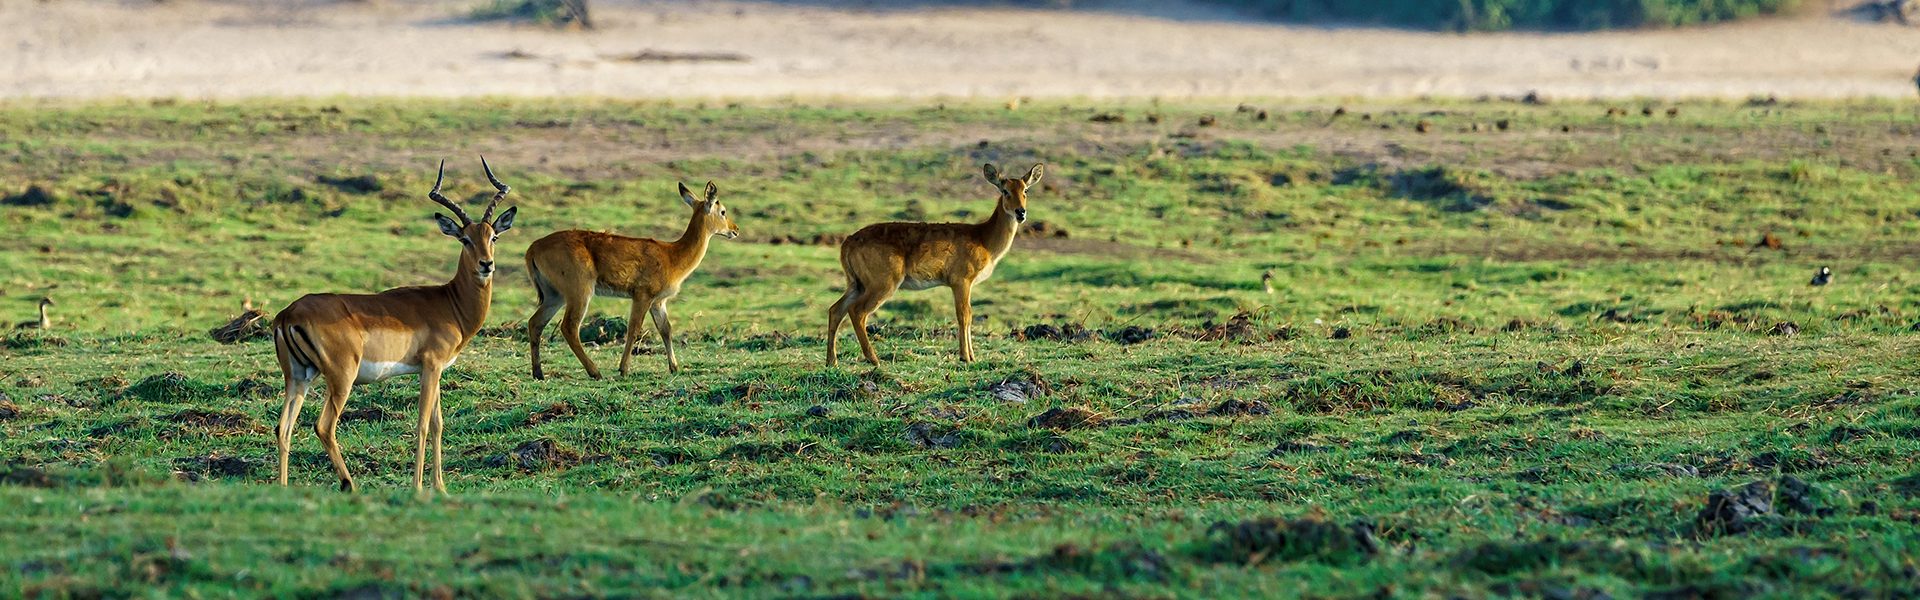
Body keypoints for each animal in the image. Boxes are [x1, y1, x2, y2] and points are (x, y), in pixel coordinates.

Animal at [266, 156, 518, 496]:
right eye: (465, 239)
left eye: (493, 237)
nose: (486, 264)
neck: (449, 302)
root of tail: (287, 314)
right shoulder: (431, 366)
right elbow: (423, 424)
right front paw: (418, 488)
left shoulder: (435, 370)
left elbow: (438, 424)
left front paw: (440, 487)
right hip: (341, 378)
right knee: (323, 426)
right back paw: (349, 484)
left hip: (298, 377)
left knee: (284, 427)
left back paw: (283, 488)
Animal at [522, 180, 737, 376]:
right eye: (723, 211)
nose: (735, 230)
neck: (672, 255)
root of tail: (533, 247)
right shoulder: (642, 296)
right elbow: (634, 329)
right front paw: (623, 369)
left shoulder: (658, 302)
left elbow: (666, 329)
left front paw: (674, 367)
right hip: (580, 293)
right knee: (569, 327)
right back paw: (595, 372)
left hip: (555, 295)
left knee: (535, 323)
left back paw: (538, 373)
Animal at [817, 161, 1044, 365]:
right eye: (1005, 191)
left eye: (1025, 190)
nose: (1020, 212)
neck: (983, 238)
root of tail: (847, 242)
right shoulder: (961, 281)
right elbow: (964, 314)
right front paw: (966, 357)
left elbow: (968, 315)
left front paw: (971, 356)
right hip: (882, 285)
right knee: (857, 311)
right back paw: (874, 359)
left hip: (856, 284)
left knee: (835, 309)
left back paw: (832, 361)